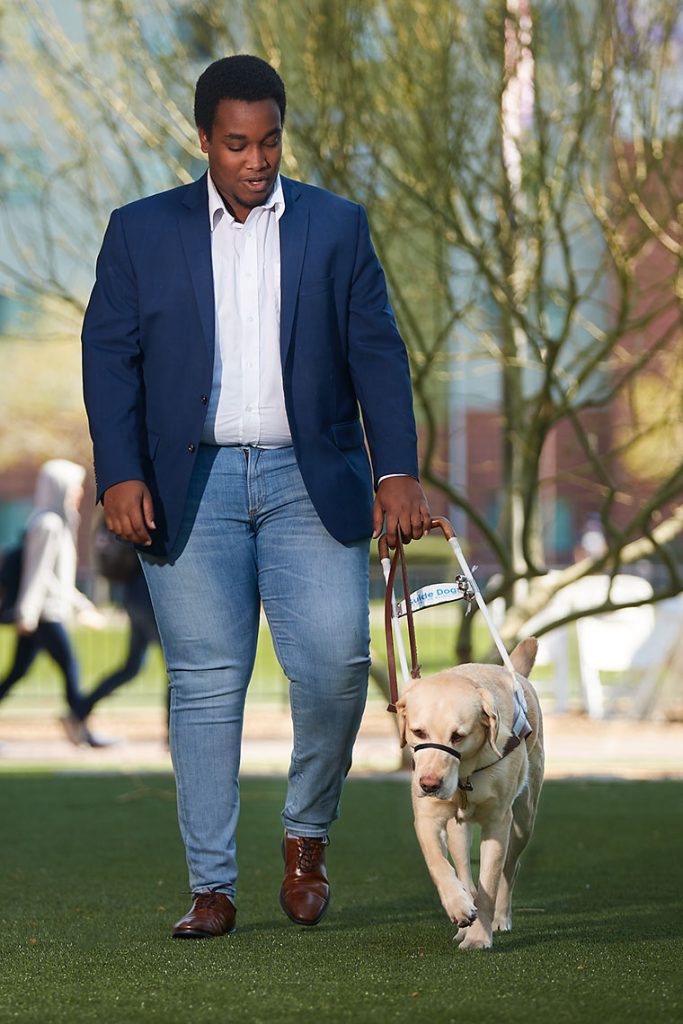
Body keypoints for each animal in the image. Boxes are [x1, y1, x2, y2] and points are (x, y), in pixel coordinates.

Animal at [395, 638, 544, 950]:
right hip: (458, 831)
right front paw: (459, 907)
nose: (429, 784)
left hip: (524, 819)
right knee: (463, 870)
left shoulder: (498, 823)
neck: (465, 774)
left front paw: (479, 937)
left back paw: (500, 918)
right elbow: (439, 865)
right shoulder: (427, 819)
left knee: (510, 869)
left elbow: (490, 883)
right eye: (418, 731)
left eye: (458, 736)